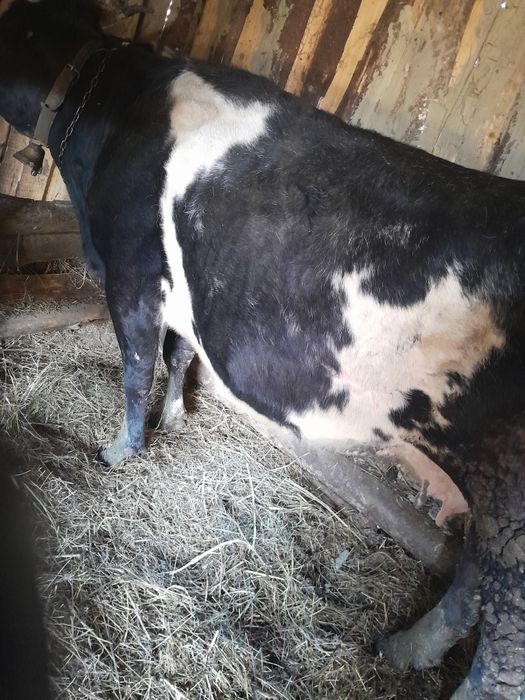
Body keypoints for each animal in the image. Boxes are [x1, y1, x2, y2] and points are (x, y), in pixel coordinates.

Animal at [0, 1, 524, 697]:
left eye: (16, 27)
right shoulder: (183, 289)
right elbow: (178, 356)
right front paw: (177, 416)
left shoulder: (132, 271)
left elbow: (136, 366)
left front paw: (121, 450)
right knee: (470, 590)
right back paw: (401, 649)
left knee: (503, 650)